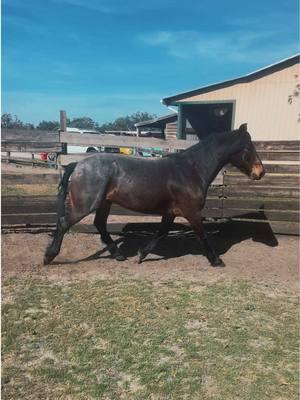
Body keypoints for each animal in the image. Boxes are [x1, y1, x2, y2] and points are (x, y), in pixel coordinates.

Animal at [44, 124, 264, 268]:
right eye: (248, 148)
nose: (261, 172)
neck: (191, 170)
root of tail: (77, 165)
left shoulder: (171, 212)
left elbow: (161, 232)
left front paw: (142, 255)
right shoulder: (191, 212)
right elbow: (202, 234)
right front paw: (216, 260)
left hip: (104, 203)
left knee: (100, 225)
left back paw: (119, 255)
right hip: (86, 205)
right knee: (64, 223)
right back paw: (49, 257)